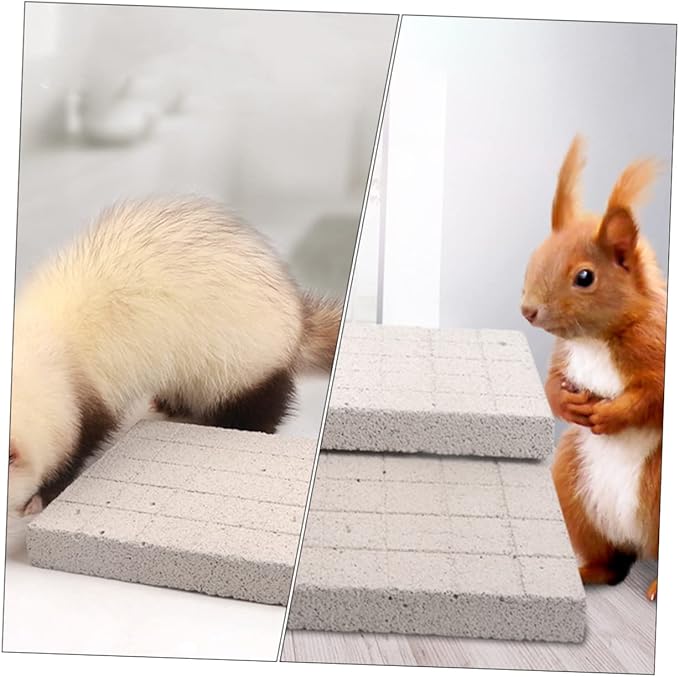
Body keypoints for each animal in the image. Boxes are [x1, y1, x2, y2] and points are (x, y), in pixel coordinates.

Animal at [521, 136, 665, 601]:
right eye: (535, 256)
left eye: (585, 277)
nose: (527, 310)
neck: (595, 339)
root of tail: (635, 540)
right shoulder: (564, 354)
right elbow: (549, 385)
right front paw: (566, 404)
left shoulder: (657, 348)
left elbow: (652, 398)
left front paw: (612, 414)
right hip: (571, 489)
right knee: (611, 563)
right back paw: (587, 573)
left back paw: (658, 586)